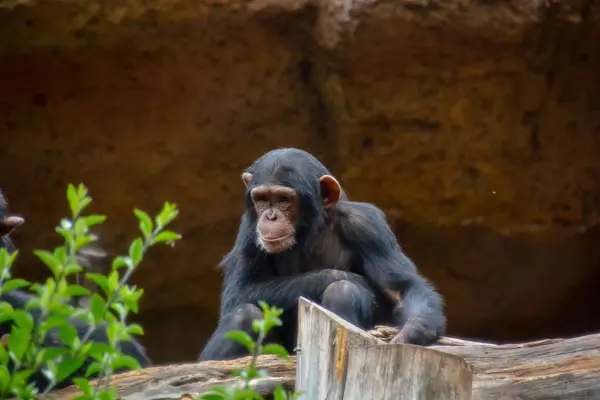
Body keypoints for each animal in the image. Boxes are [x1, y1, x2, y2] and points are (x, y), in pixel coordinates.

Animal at [200, 148, 446, 360]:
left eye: (284, 199)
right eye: (261, 199)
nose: (270, 216)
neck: (308, 231)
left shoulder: (367, 225)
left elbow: (401, 287)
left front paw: (415, 330)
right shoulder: (249, 229)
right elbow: (239, 290)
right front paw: (351, 278)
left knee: (342, 292)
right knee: (244, 314)